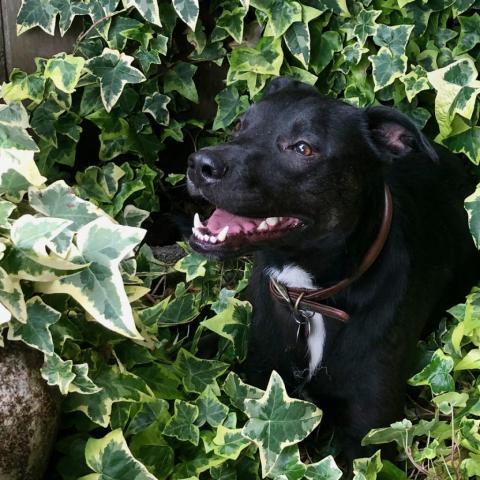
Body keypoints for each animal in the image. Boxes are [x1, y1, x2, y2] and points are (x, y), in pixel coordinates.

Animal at [186, 79, 478, 468]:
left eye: (303, 147)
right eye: (239, 125)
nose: (198, 164)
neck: (309, 297)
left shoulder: (369, 436)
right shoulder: (260, 385)